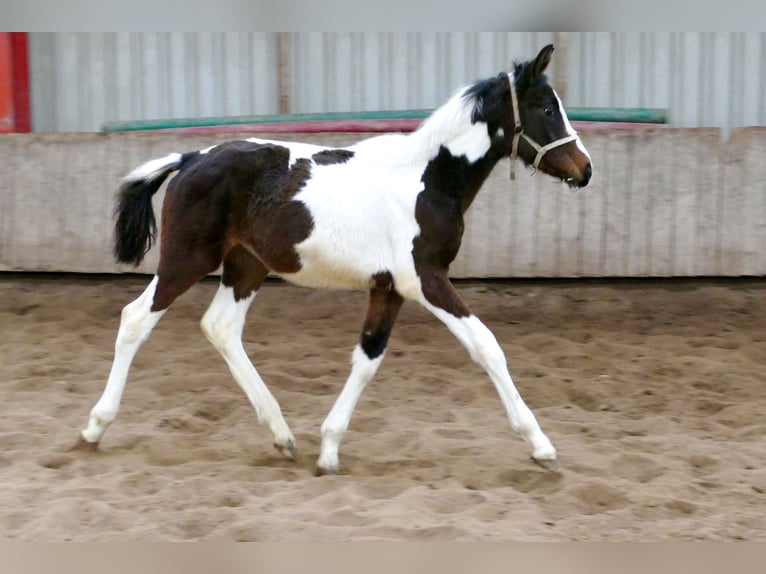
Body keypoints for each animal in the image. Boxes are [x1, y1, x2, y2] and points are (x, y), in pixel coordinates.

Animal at [78, 45, 592, 476]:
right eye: (547, 108)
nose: (585, 169)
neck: (426, 179)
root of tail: (190, 158)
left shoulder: (388, 288)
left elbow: (367, 359)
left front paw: (328, 449)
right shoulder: (425, 279)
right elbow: (486, 346)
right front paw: (541, 445)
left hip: (246, 266)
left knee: (220, 327)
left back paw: (282, 436)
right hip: (187, 258)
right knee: (136, 319)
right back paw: (94, 427)